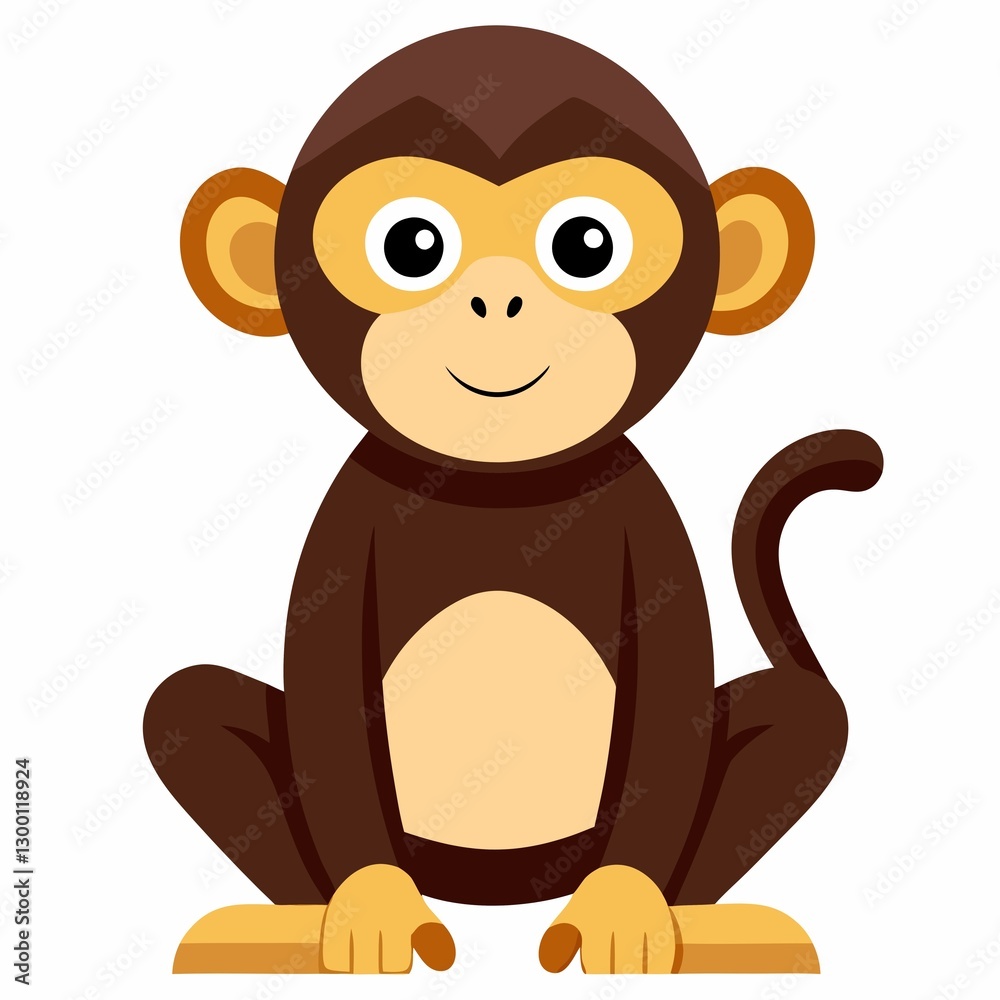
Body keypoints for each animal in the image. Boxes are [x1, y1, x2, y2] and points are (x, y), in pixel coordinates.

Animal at [144, 25, 883, 976]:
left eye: (587, 245)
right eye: (412, 245)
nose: (498, 300)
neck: (500, 485)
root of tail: (498, 890)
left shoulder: (649, 525)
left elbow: (672, 701)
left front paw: (623, 912)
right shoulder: (344, 530)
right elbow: (325, 705)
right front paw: (371, 911)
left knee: (801, 717)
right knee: (187, 707)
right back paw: (277, 924)